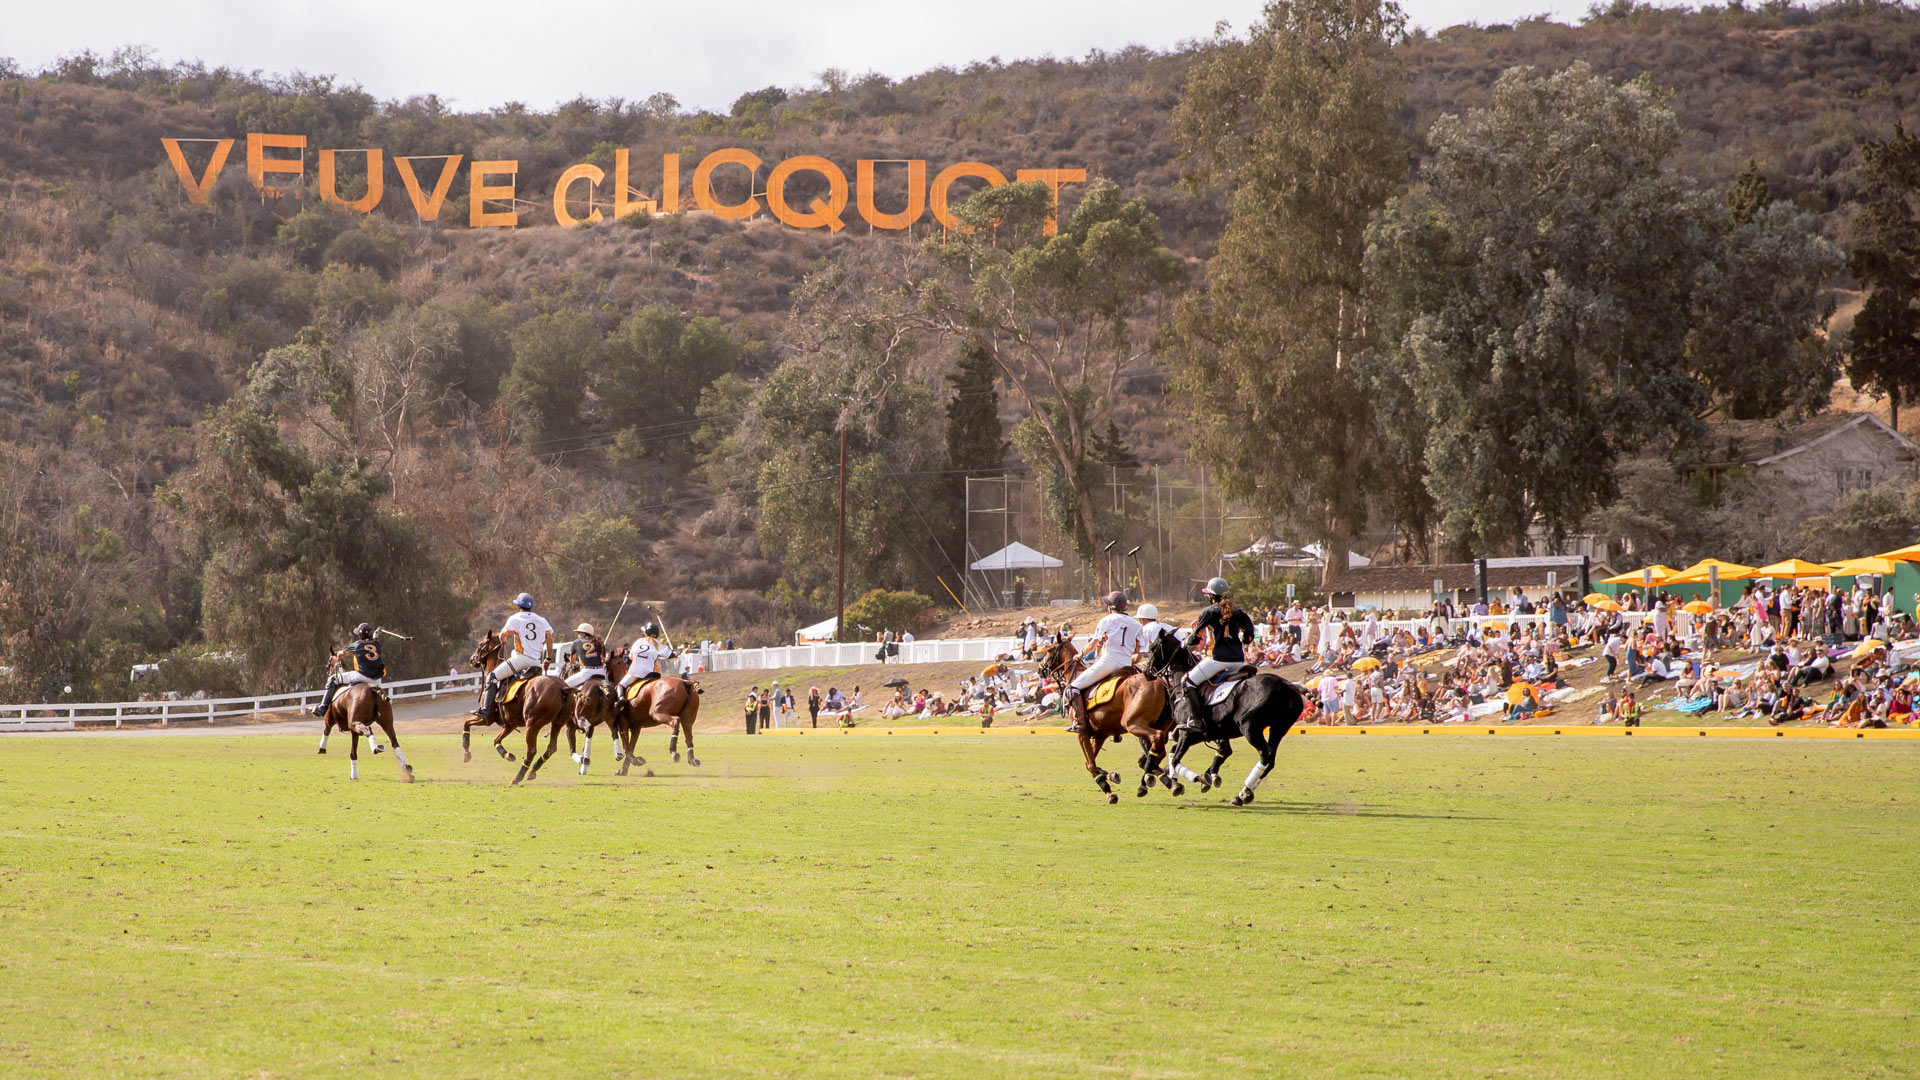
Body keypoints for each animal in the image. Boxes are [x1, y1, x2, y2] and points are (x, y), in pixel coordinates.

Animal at [462, 630, 572, 780]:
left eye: (480, 644)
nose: (472, 659)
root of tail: (562, 688)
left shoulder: (487, 719)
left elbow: (466, 723)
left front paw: (466, 754)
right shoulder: (509, 724)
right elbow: (496, 740)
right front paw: (508, 755)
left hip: (533, 723)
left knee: (531, 750)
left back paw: (518, 777)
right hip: (558, 722)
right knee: (551, 747)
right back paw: (532, 771)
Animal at [1044, 630, 1175, 799]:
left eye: (1049, 650)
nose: (1041, 669)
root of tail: (1163, 684)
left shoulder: (1081, 733)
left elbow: (1090, 764)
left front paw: (1107, 788)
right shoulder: (1100, 734)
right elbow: (1089, 762)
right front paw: (1111, 776)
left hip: (1132, 723)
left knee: (1155, 739)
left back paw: (1149, 779)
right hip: (1160, 724)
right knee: (1160, 750)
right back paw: (1158, 778)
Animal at [1144, 630, 1313, 799]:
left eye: (1152, 648)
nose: (1146, 672)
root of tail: (1289, 685)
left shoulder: (1188, 733)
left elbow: (1175, 759)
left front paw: (1194, 780)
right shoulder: (1204, 734)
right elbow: (1178, 754)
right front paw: (1201, 778)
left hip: (1248, 726)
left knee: (1266, 754)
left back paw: (1243, 794)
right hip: (1278, 728)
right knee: (1270, 760)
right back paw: (1244, 792)